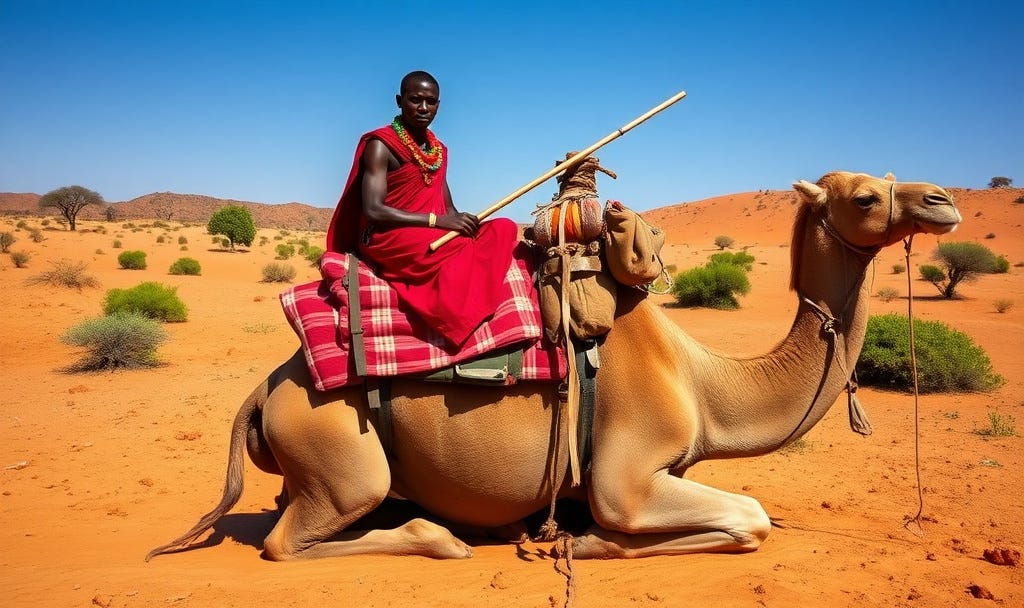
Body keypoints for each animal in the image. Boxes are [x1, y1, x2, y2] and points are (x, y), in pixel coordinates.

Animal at [147, 171, 961, 561]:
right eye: (865, 195)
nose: (941, 199)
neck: (705, 384)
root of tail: (264, 390)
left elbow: (748, 520)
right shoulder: (626, 478)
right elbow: (750, 517)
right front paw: (591, 540)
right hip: (345, 461)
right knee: (287, 541)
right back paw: (440, 537)